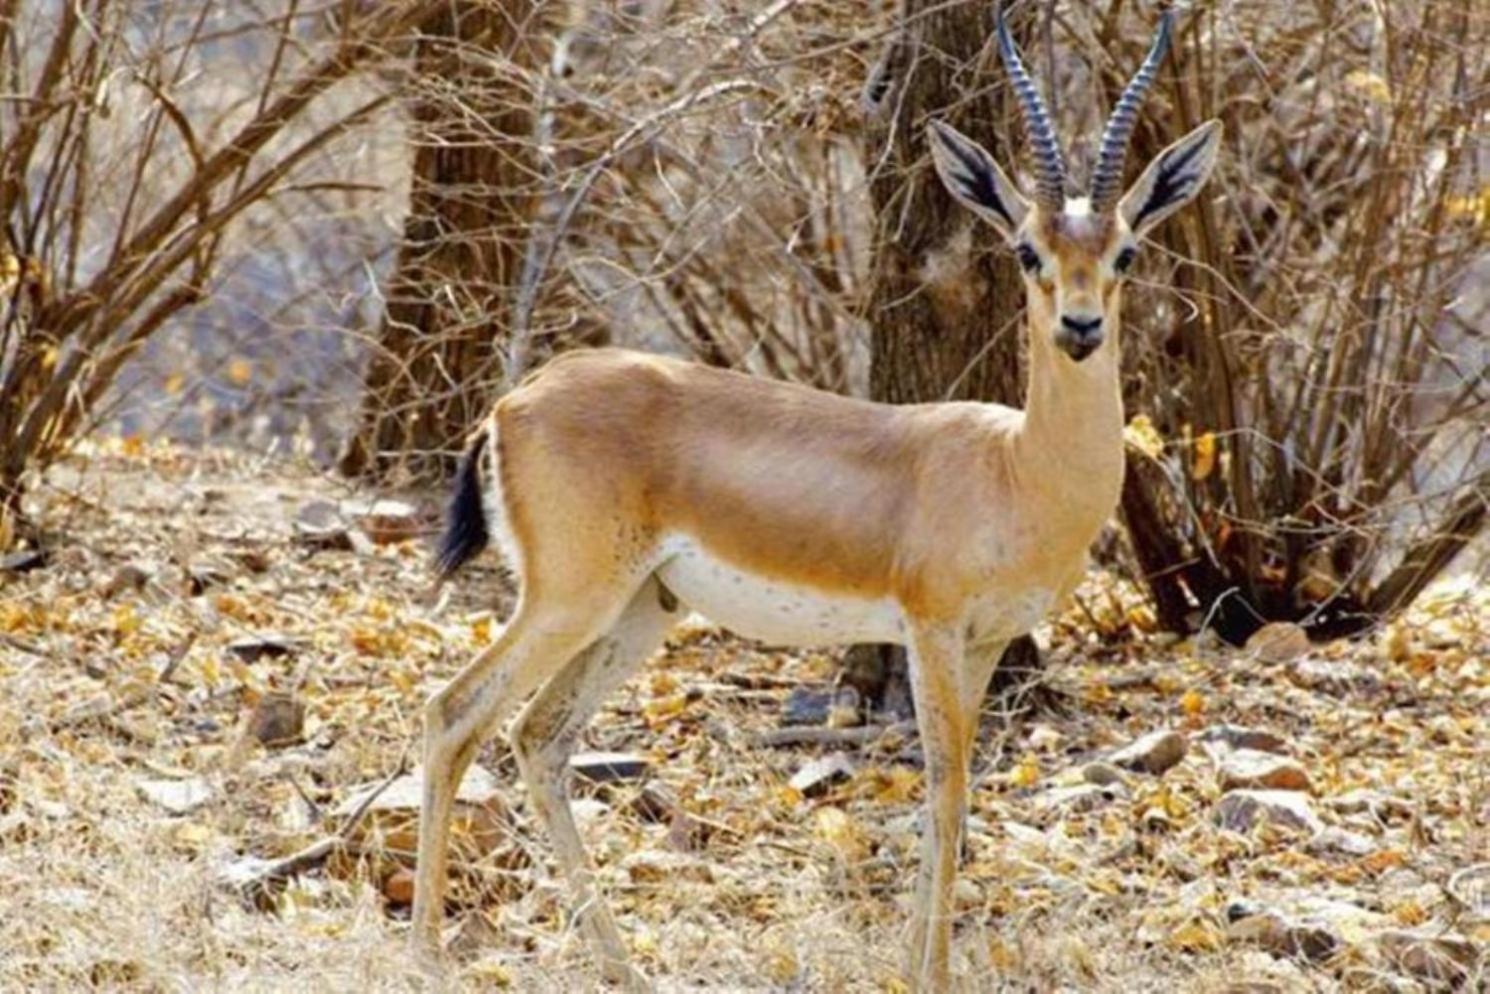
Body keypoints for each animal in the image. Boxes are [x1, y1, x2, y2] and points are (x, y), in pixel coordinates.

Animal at [411, 5, 1221, 989]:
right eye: (1028, 250)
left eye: (1125, 251)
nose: (1080, 326)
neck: (1017, 470)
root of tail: (513, 402)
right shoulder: (931, 628)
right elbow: (946, 785)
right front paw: (931, 973)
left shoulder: (988, 641)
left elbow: (956, 786)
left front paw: (912, 962)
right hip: (571, 599)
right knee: (454, 714)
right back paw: (423, 954)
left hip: (640, 610)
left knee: (540, 737)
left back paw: (622, 966)